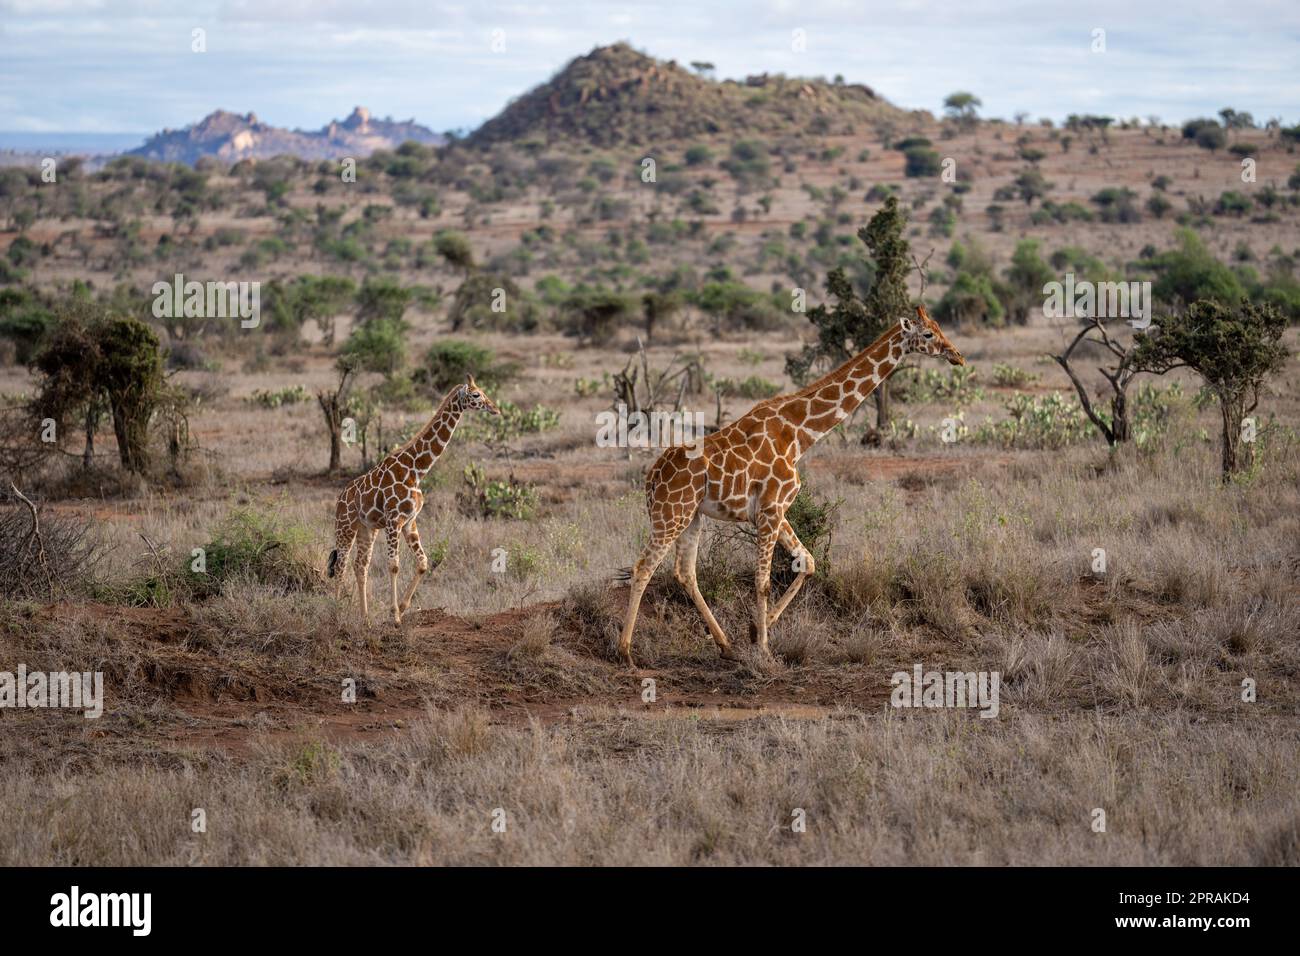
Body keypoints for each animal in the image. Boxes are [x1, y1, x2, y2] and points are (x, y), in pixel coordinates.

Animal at [327, 374, 499, 629]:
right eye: (476, 394)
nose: (495, 408)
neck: (417, 470)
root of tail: (339, 498)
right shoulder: (393, 521)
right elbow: (394, 565)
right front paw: (395, 617)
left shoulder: (409, 522)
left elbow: (423, 562)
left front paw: (402, 607)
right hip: (345, 526)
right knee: (340, 565)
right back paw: (335, 616)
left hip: (367, 530)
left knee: (360, 565)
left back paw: (365, 619)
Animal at [618, 304, 967, 665]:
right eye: (928, 334)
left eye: (939, 328)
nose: (957, 355)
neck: (800, 434)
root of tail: (651, 478)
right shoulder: (771, 510)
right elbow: (762, 581)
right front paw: (764, 649)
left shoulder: (776, 510)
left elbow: (808, 563)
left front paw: (754, 631)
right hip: (671, 514)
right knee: (643, 567)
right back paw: (626, 652)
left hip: (692, 516)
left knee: (685, 572)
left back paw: (725, 645)